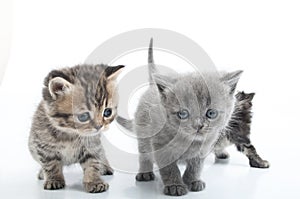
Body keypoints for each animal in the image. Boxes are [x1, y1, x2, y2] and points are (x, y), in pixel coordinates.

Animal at [27, 64, 123, 193]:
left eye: (107, 112)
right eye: (83, 116)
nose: (99, 126)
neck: (70, 133)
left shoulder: (92, 145)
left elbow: (92, 163)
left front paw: (94, 181)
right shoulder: (43, 147)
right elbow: (51, 165)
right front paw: (54, 180)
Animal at [116, 39, 243, 196]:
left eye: (211, 113)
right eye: (183, 113)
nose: (198, 125)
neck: (189, 141)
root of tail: (152, 86)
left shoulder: (204, 147)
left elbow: (196, 166)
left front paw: (193, 180)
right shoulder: (160, 146)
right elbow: (169, 168)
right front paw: (175, 185)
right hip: (143, 133)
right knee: (144, 154)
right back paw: (145, 173)